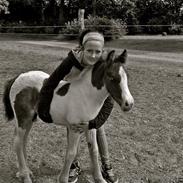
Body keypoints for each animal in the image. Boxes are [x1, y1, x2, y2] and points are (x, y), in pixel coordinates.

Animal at [2, 50, 134, 183]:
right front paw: (63, 179)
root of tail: (17, 77)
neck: (86, 95)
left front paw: (99, 179)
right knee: (18, 142)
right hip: (23, 118)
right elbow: (71, 153)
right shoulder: (74, 128)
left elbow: (94, 150)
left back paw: (25, 171)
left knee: (23, 141)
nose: (129, 104)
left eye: (127, 76)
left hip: (30, 119)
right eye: (111, 76)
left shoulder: (90, 126)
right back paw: (25, 176)